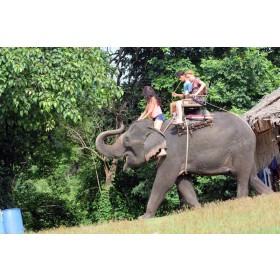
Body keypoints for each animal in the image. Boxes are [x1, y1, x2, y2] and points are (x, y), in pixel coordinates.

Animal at [95, 111, 272, 219]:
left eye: (126, 141)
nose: (122, 123)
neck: (159, 127)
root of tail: (248, 124)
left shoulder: (172, 155)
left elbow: (164, 181)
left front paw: (143, 218)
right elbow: (183, 181)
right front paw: (198, 209)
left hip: (242, 149)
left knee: (242, 177)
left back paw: (241, 201)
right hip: (247, 152)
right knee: (252, 177)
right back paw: (269, 195)